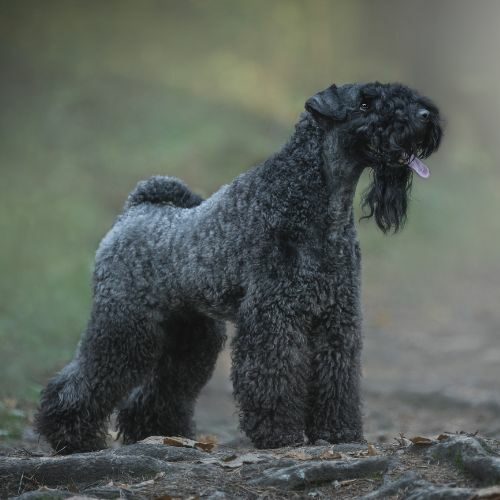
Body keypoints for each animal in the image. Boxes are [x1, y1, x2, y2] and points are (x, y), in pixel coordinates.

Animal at [36, 82, 442, 454]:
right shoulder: (274, 315)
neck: (315, 201)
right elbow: (274, 374)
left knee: (161, 388)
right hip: (124, 327)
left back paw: (160, 433)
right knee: (83, 379)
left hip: (192, 336)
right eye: (365, 103)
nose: (426, 116)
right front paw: (280, 435)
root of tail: (134, 211)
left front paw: (338, 432)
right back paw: (73, 436)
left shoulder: (336, 316)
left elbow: (336, 377)